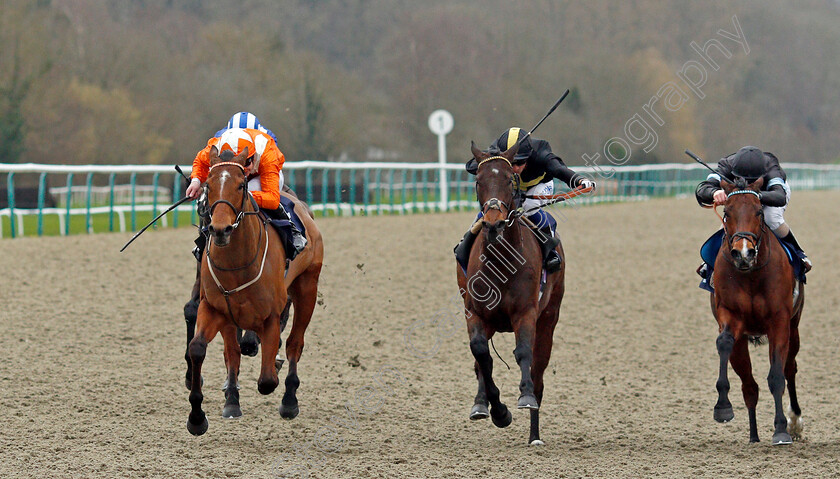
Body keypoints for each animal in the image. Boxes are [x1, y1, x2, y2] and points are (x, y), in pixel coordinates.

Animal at [185, 148, 324, 436]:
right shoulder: (215, 308)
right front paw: (197, 416)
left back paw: (289, 400)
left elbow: (267, 379)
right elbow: (201, 348)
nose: (219, 229)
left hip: (307, 287)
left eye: (241, 185)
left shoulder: (270, 315)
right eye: (208, 185)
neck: (237, 263)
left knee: (295, 343)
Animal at [456, 142, 568, 446]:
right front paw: (497, 411)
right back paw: (481, 403)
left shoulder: (526, 312)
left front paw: (524, 396)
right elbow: (481, 354)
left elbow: (523, 353)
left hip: (549, 317)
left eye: (509, 179)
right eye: (479, 181)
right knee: (480, 362)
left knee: (539, 371)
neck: (500, 261)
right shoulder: (475, 312)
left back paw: (534, 435)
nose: (493, 224)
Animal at [712, 176, 804, 446]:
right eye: (726, 212)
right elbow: (724, 342)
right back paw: (753, 436)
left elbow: (777, 377)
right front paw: (722, 407)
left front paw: (782, 430)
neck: (750, 274)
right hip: (743, 342)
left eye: (759, 212)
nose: (743, 253)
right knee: (749, 387)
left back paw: (795, 421)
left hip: (794, 327)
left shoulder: (779, 322)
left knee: (790, 368)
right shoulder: (730, 315)